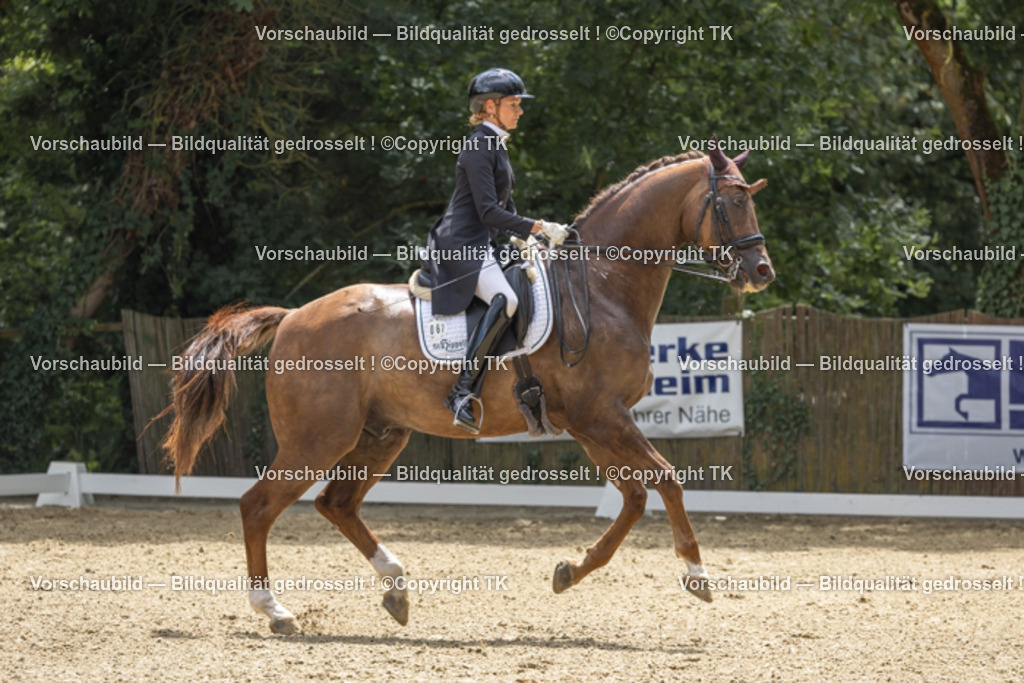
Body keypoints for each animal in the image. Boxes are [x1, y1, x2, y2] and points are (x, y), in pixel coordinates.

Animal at [162, 143, 775, 634]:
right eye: (732, 202)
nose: (761, 271)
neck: (601, 286)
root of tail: (292, 317)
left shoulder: (593, 422)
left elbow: (635, 496)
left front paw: (569, 572)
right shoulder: (601, 416)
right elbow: (666, 480)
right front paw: (696, 574)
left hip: (380, 435)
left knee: (336, 504)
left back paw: (396, 588)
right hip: (317, 439)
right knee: (258, 506)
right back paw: (276, 611)